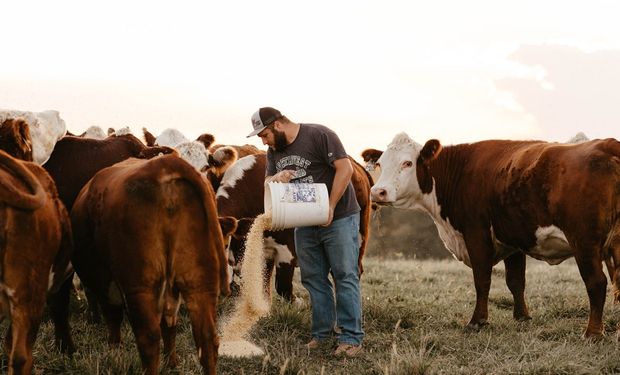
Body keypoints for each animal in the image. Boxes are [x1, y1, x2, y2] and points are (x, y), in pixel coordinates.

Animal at [68, 154, 232, 374]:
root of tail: (166, 164)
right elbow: (169, 325)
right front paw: (172, 363)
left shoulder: (105, 282)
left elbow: (113, 317)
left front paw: (114, 353)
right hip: (200, 283)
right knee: (206, 339)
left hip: (140, 286)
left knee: (148, 338)